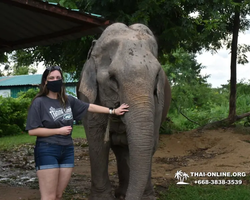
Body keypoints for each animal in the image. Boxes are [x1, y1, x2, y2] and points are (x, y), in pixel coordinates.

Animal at [77, 22, 172, 199]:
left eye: (157, 75)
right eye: (112, 78)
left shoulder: (158, 103)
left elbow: (150, 142)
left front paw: (148, 197)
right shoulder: (89, 97)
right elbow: (98, 142)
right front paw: (102, 198)